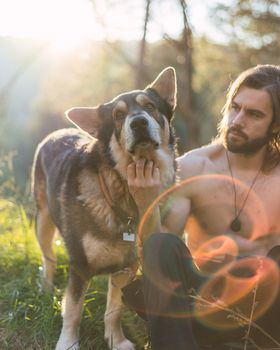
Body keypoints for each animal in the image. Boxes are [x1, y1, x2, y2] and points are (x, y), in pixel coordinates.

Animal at [31, 67, 177, 348]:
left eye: (150, 107)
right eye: (118, 116)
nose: (138, 122)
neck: (119, 191)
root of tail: (57, 132)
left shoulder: (127, 267)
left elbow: (114, 309)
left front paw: (116, 340)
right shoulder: (79, 265)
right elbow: (74, 311)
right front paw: (68, 343)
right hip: (43, 222)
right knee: (48, 258)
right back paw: (46, 287)